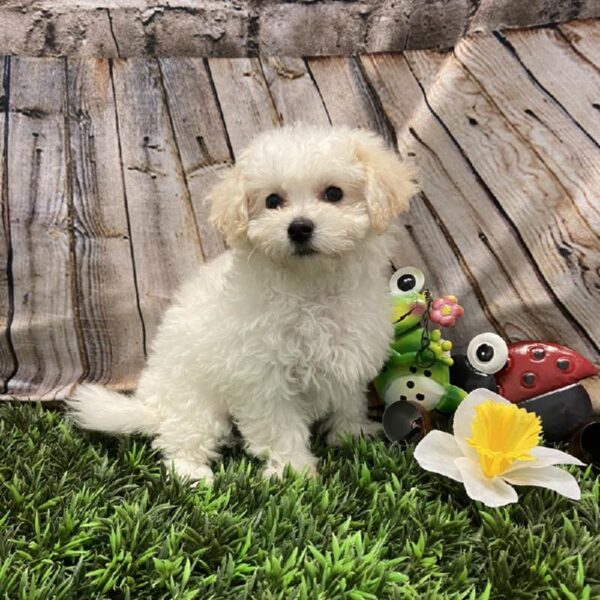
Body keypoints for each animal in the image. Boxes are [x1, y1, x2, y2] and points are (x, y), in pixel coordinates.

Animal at [64, 124, 412, 480]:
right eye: (273, 200)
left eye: (333, 193)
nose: (299, 227)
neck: (311, 285)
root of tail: (151, 404)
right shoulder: (262, 377)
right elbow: (280, 428)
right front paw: (293, 471)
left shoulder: (350, 353)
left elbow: (348, 400)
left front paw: (351, 432)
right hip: (193, 404)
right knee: (177, 438)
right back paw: (191, 473)